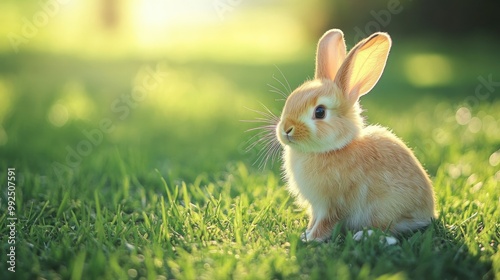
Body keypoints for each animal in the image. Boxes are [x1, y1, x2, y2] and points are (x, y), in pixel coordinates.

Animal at [274, 29, 438, 242]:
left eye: (320, 112)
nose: (286, 129)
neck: (333, 149)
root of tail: (427, 213)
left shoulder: (332, 205)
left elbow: (325, 223)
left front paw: (310, 239)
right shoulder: (317, 207)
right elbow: (314, 220)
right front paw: (306, 233)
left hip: (383, 209)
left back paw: (364, 235)